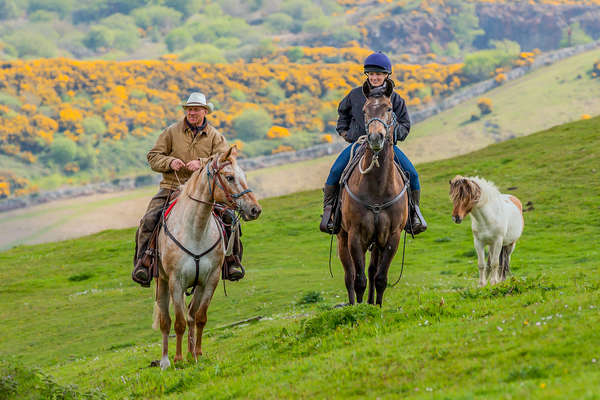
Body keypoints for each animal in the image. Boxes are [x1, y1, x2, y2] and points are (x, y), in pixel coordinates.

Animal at [152, 147, 260, 368]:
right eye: (229, 177)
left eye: (244, 176)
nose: (255, 209)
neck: (196, 229)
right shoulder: (176, 282)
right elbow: (179, 323)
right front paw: (178, 359)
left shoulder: (210, 280)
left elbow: (200, 317)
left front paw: (197, 354)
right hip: (162, 283)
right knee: (166, 321)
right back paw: (165, 361)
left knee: (192, 316)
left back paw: (191, 352)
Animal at [338, 81, 408, 306]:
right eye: (364, 110)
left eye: (389, 108)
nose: (376, 137)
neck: (377, 188)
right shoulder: (355, 236)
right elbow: (359, 279)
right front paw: (358, 310)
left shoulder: (392, 237)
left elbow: (380, 278)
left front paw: (376, 307)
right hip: (343, 237)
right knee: (349, 275)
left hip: (377, 241)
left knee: (372, 270)